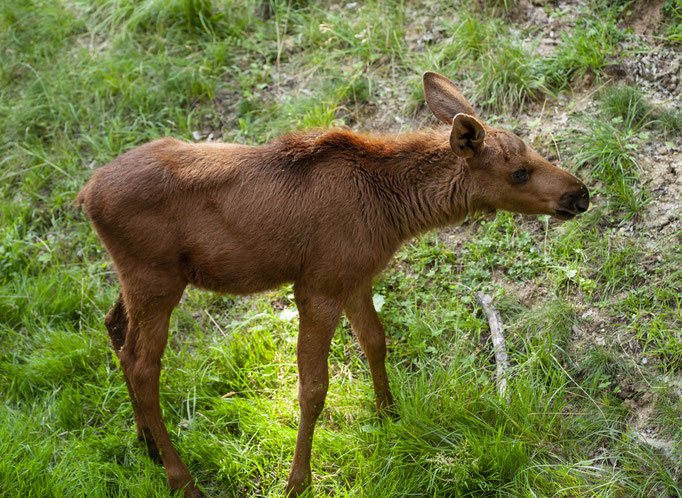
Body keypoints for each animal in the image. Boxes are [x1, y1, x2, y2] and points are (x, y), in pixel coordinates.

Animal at [74, 72, 588, 496]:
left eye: (534, 151)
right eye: (518, 172)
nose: (580, 194)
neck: (393, 212)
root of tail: (85, 195)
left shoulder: (356, 278)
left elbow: (376, 342)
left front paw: (388, 415)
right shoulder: (317, 287)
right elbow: (313, 388)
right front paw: (297, 482)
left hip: (136, 277)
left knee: (115, 330)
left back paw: (146, 444)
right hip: (156, 279)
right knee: (142, 364)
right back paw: (182, 480)